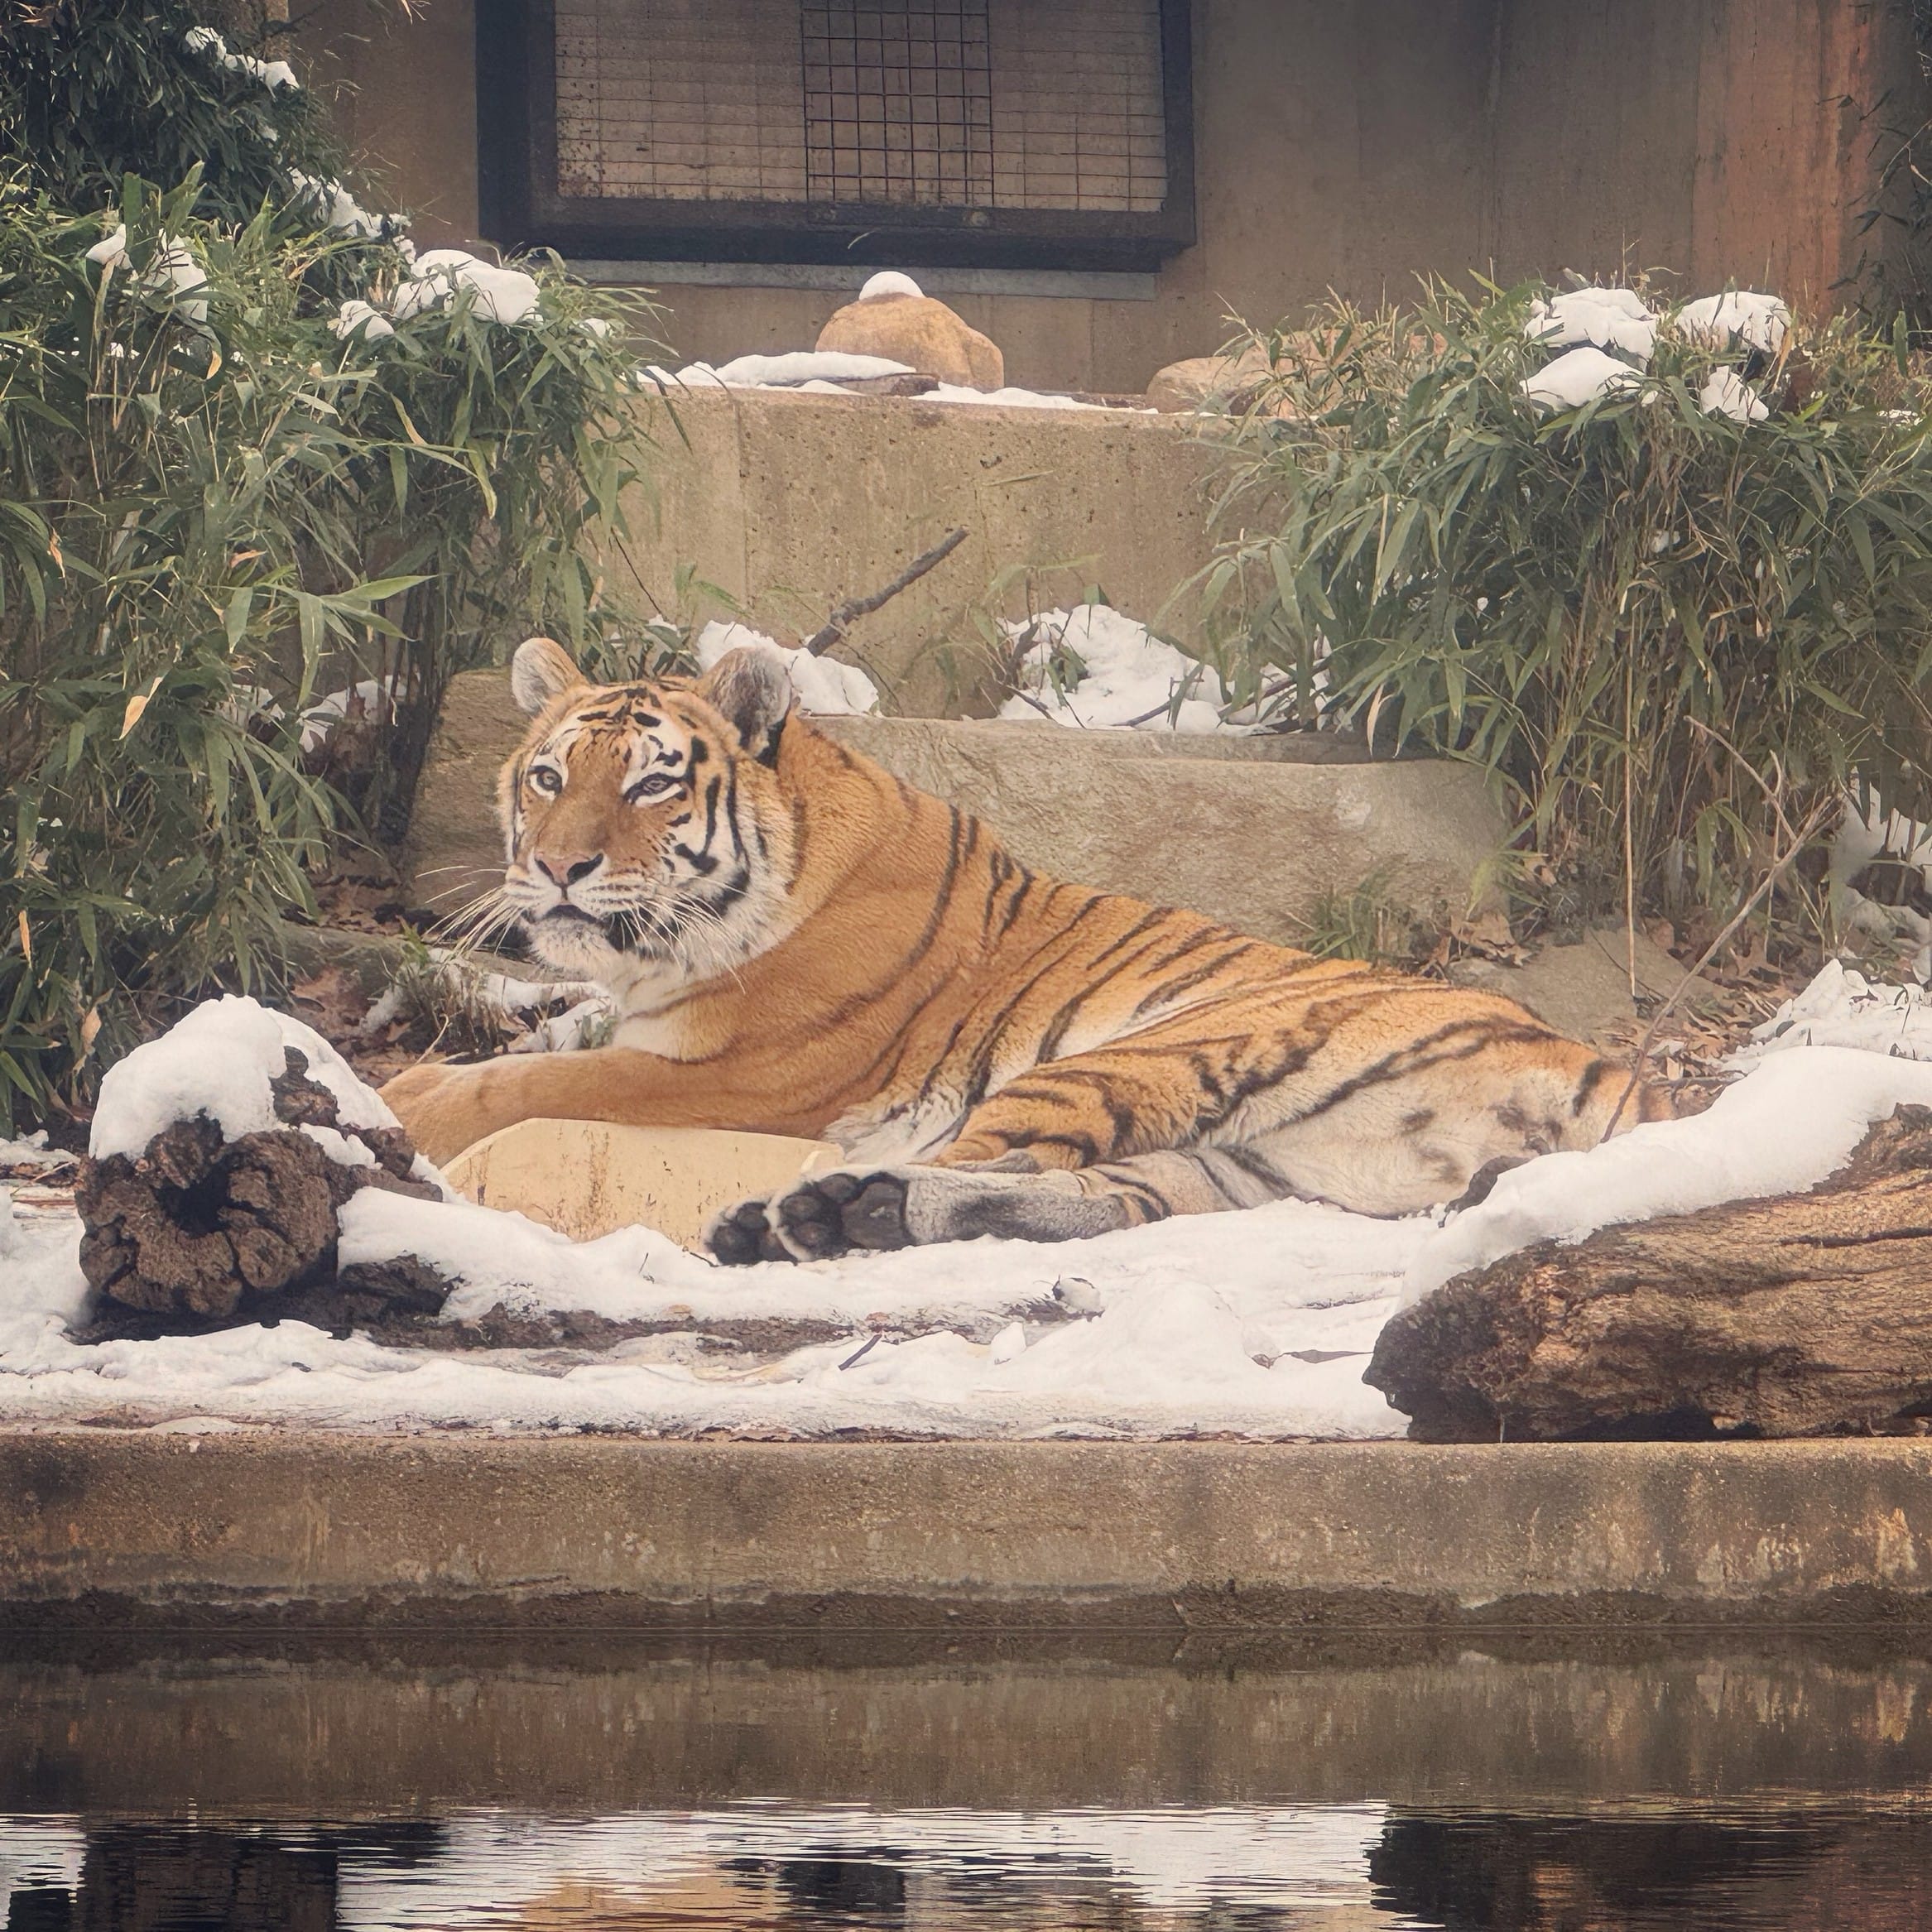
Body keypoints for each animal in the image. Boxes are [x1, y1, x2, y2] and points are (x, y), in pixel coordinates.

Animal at [380, 637, 1676, 1267]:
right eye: (549, 776)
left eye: (650, 783)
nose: (556, 868)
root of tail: (1610, 1070)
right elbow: (517, 1054)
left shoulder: (729, 1074)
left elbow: (525, 1083)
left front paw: (405, 1108)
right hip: (1257, 1169)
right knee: (1104, 1198)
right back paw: (835, 1217)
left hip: (1151, 1050)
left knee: (991, 1157)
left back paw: (806, 1212)